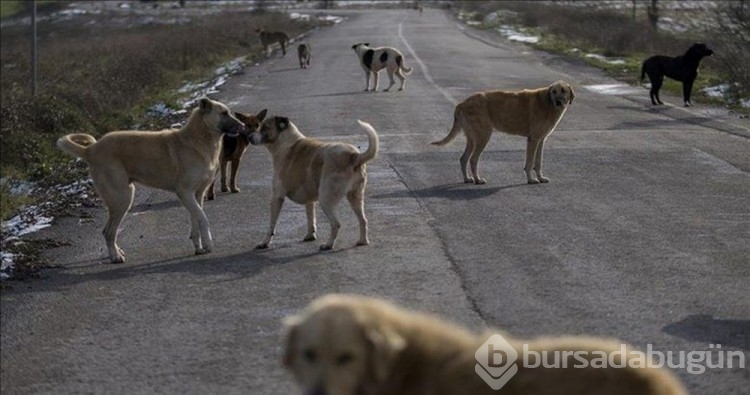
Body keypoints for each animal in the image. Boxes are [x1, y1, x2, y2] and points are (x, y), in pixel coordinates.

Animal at [59, 98, 247, 264]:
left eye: (230, 112)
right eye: (223, 113)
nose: (243, 126)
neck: (199, 140)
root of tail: (91, 149)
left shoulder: (197, 194)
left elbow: (196, 219)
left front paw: (198, 247)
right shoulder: (185, 193)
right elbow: (203, 218)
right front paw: (208, 243)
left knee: (110, 231)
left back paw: (117, 252)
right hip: (122, 198)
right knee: (108, 232)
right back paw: (115, 257)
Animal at [250, 116, 378, 251]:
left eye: (264, 127)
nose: (249, 137)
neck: (285, 142)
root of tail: (354, 156)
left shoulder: (276, 197)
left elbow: (271, 225)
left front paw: (265, 242)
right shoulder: (309, 199)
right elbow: (310, 217)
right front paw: (310, 235)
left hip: (326, 199)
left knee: (336, 224)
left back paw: (328, 245)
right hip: (355, 197)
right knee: (363, 220)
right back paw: (363, 241)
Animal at [432, 81, 580, 186]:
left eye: (563, 91)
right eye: (554, 92)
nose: (558, 102)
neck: (547, 103)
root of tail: (462, 103)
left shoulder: (541, 140)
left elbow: (538, 162)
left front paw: (540, 177)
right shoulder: (533, 139)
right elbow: (530, 162)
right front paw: (531, 180)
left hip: (473, 138)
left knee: (463, 158)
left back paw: (468, 178)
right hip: (483, 136)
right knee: (473, 159)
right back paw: (477, 179)